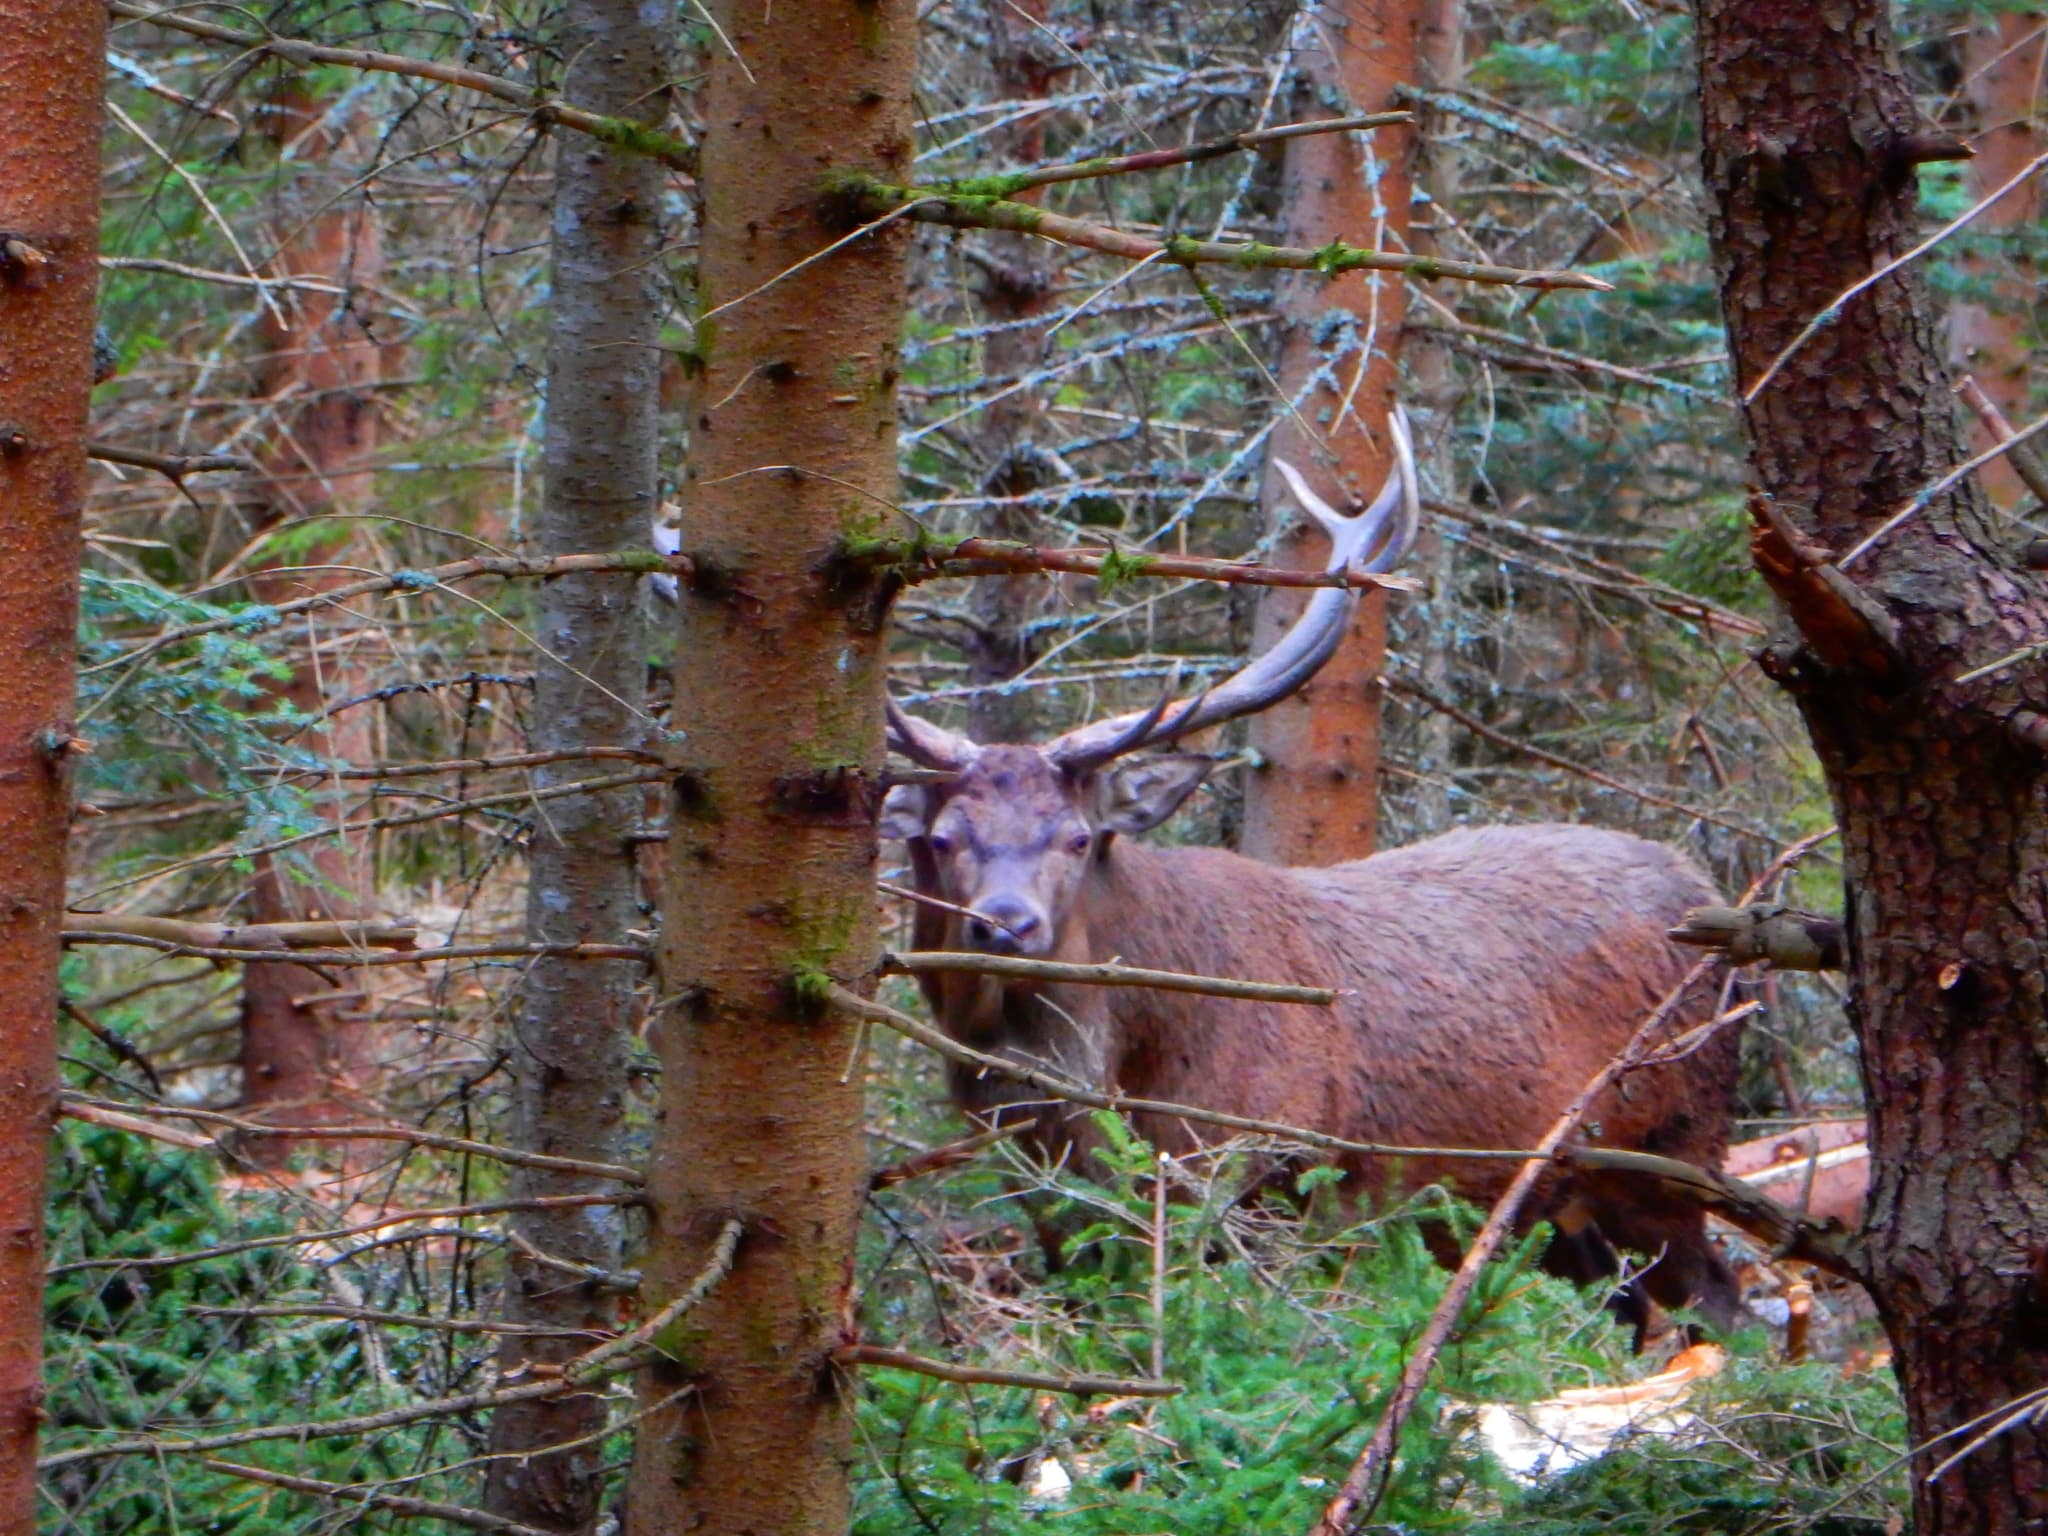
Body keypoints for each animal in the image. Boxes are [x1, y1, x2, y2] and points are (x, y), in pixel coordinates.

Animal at [881, 411, 1742, 1340]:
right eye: (942, 838)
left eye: (1077, 838)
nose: (1005, 922)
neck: (1110, 1082)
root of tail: (1706, 892)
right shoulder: (1057, 1214)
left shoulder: (1266, 1168)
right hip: (1560, 1211)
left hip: (1673, 1145)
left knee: (1724, 1300)